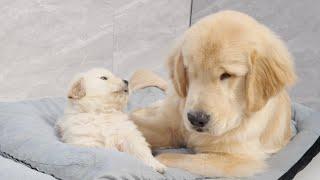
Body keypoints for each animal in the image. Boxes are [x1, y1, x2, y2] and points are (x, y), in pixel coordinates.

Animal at [129, 10, 296, 177]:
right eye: (190, 71)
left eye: (226, 75)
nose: (196, 119)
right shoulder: (172, 127)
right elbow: (143, 129)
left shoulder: (239, 160)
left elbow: (172, 157)